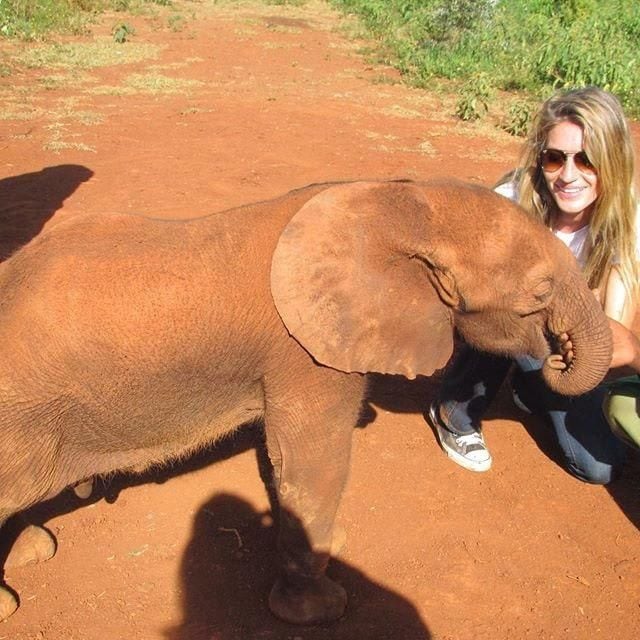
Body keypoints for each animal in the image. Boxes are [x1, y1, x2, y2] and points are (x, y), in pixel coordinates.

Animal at [0, 179, 608, 624]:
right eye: (540, 293)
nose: (555, 356)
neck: (398, 203)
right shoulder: (307, 352)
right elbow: (313, 463)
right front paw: (319, 611)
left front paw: (334, 548)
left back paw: (33, 549)